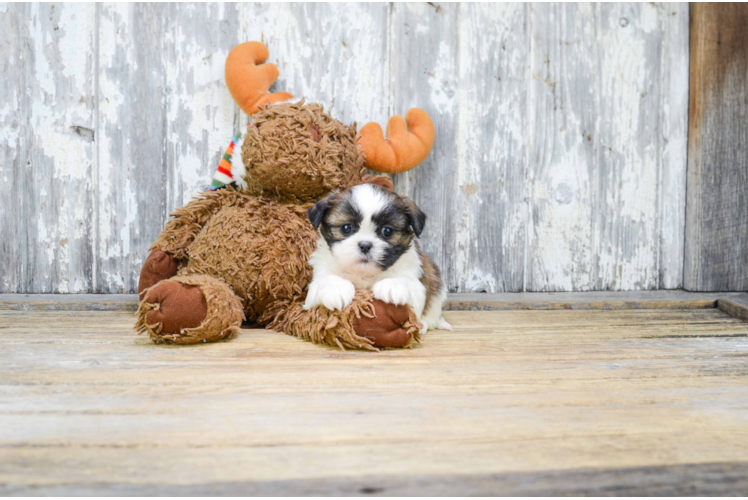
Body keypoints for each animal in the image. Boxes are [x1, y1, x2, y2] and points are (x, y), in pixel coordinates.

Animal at [302, 182, 450, 334]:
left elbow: (408, 286)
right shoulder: (313, 290)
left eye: (387, 231)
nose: (365, 245)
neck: (364, 273)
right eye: (346, 227)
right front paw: (336, 289)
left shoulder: (415, 282)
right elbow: (325, 281)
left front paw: (392, 285)